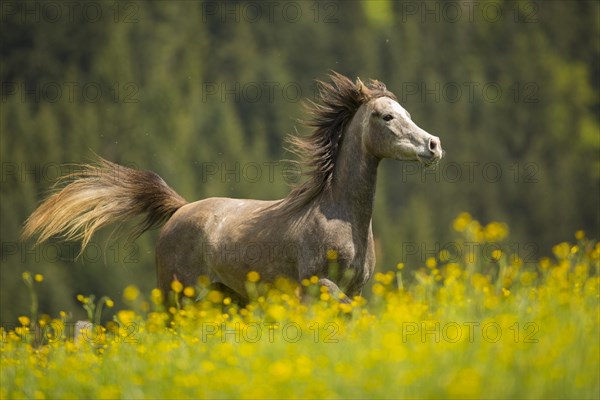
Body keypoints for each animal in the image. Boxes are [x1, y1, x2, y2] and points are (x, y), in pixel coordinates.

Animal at [21, 72, 442, 304]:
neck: (340, 215)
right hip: (177, 294)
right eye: (386, 116)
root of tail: (180, 209)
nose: (433, 145)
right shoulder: (316, 285)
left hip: (227, 296)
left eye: (407, 113)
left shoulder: (354, 288)